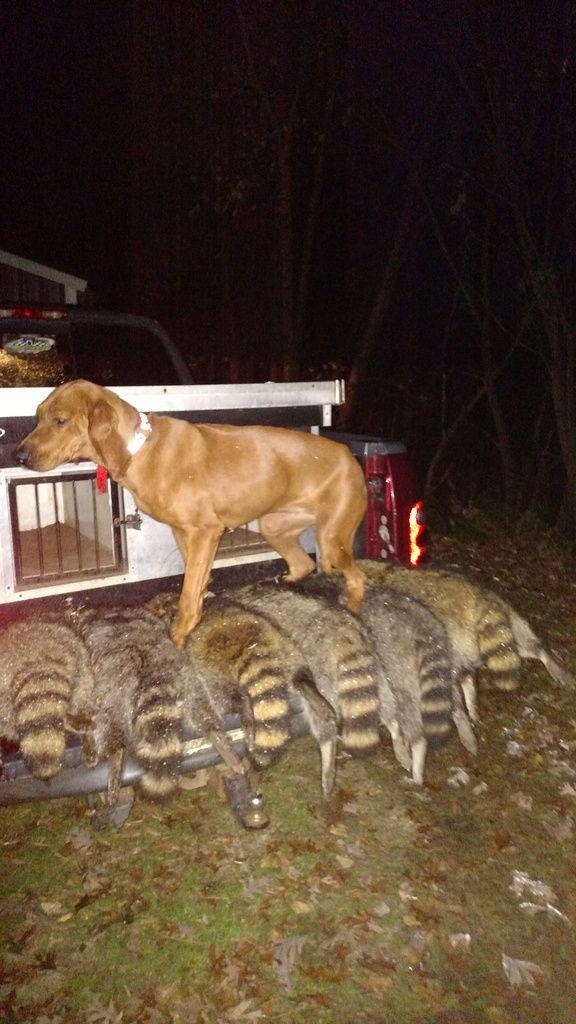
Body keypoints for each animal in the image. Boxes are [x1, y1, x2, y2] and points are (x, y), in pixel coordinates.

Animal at [15, 379, 368, 645]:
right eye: (38, 416)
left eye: (60, 420)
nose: (19, 455)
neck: (138, 449)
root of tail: (348, 456)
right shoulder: (184, 533)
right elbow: (196, 582)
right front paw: (196, 616)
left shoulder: (204, 531)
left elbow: (187, 592)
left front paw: (179, 636)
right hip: (275, 527)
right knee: (304, 564)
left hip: (332, 536)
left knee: (357, 577)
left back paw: (352, 614)